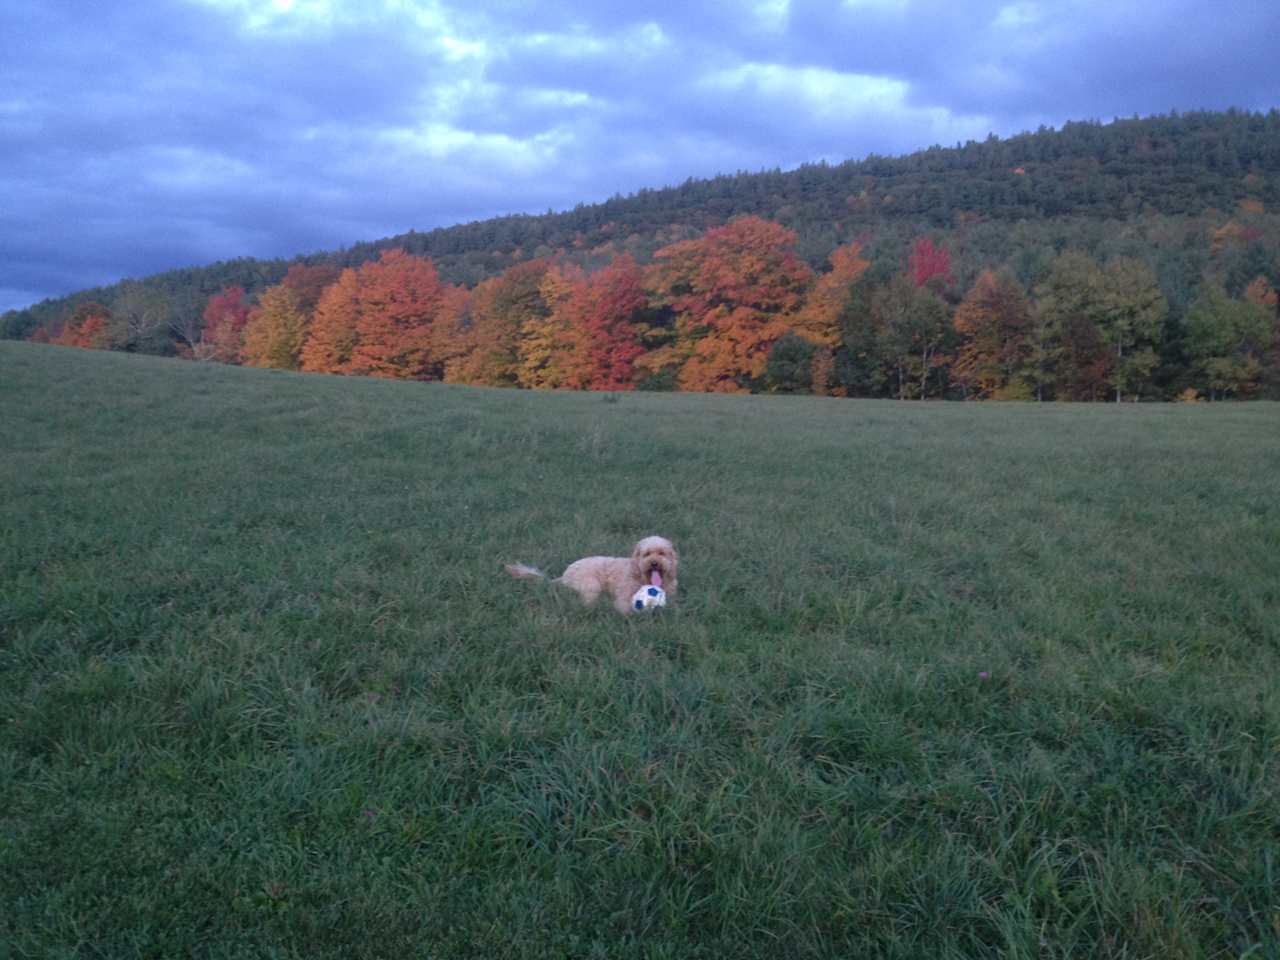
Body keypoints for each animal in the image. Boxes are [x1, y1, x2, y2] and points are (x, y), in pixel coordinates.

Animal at [501, 535, 680, 616]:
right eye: (647, 554)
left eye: (662, 553)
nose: (654, 563)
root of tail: (564, 575)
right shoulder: (624, 597)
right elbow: (625, 608)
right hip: (591, 584)